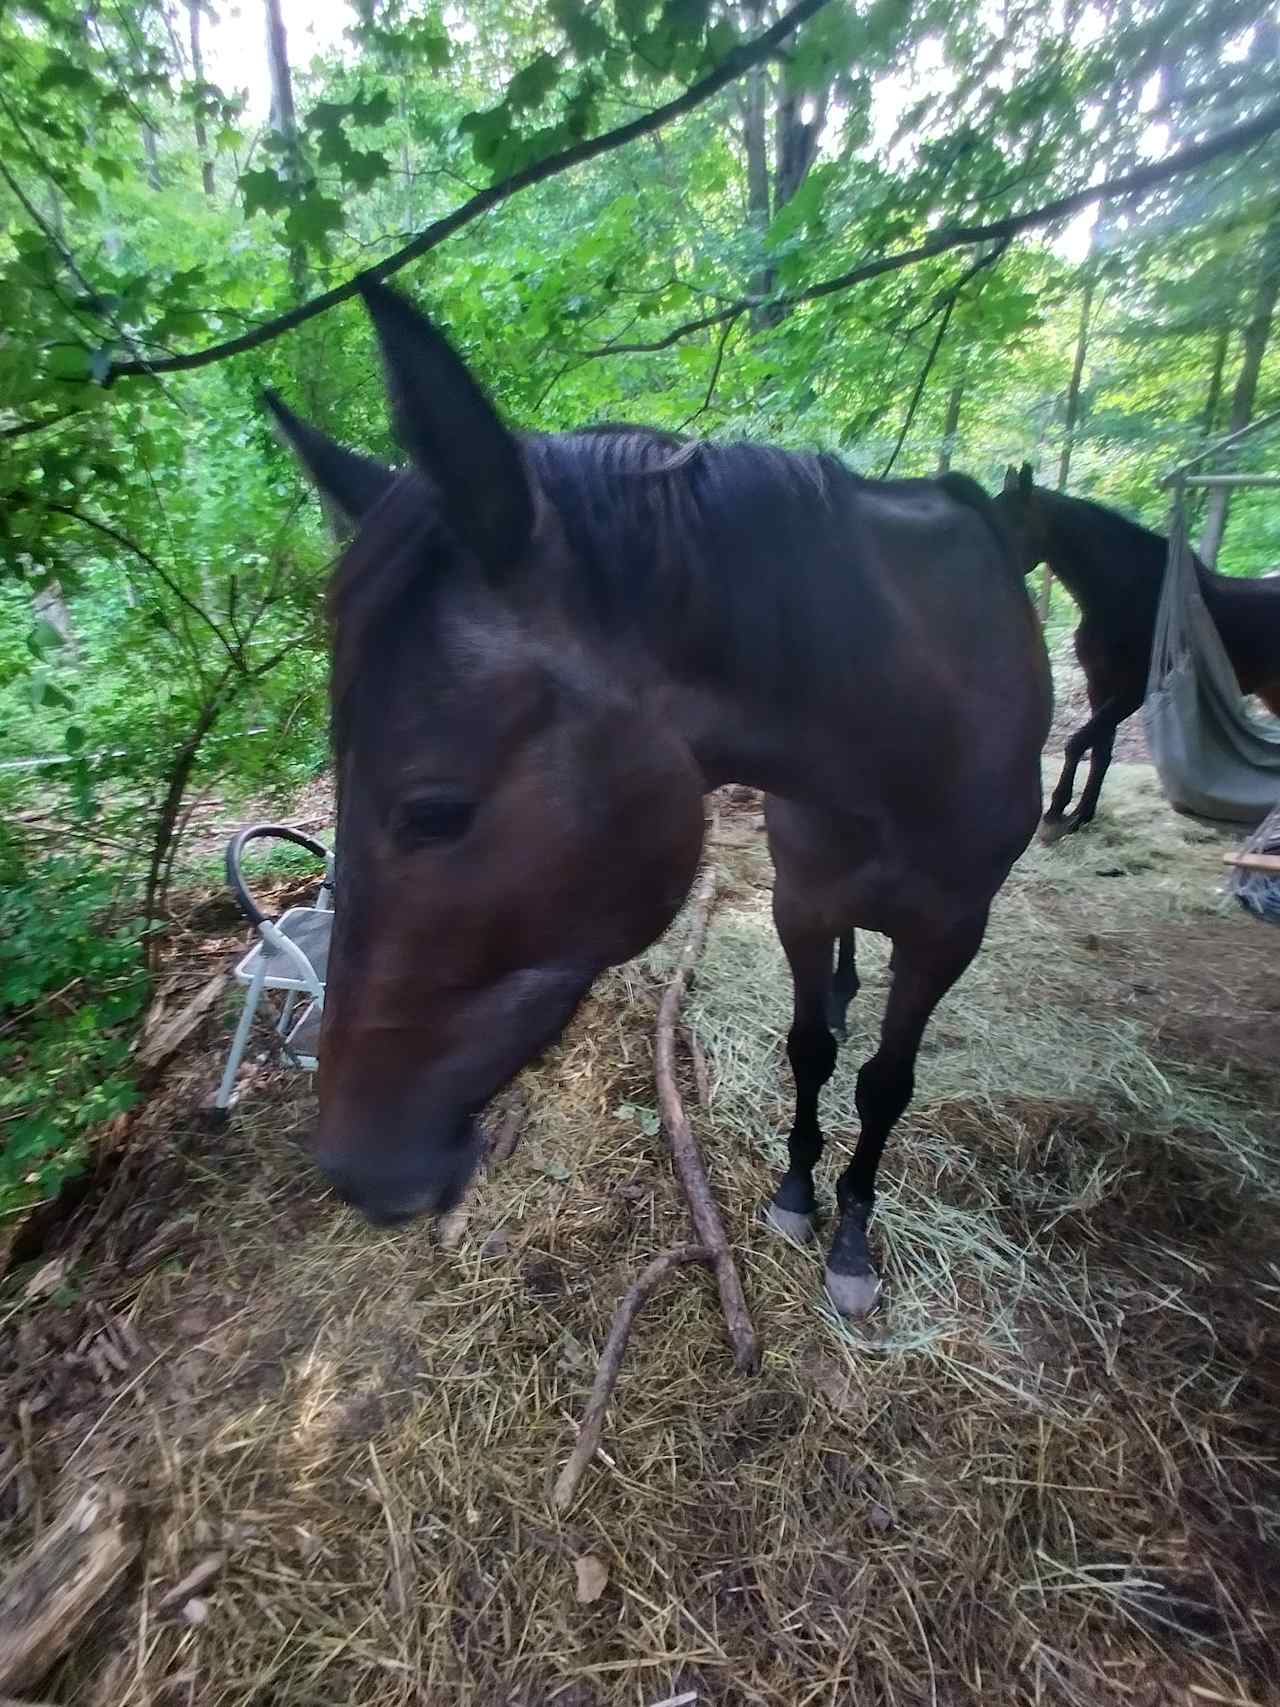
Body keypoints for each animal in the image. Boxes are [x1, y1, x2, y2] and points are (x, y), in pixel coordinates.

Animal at [262, 283, 1051, 1317]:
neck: (906, 715)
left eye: (434, 812)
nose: (353, 1164)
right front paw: (797, 1190)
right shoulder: (801, 902)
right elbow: (809, 1048)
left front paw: (849, 1236)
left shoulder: (951, 931)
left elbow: (885, 1085)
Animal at [1003, 467, 1280, 839]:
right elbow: (1100, 750)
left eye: (1011, 520)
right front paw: (1081, 814)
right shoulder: (1098, 685)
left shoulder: (1132, 692)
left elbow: (1078, 742)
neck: (1126, 596)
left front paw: (1057, 809)